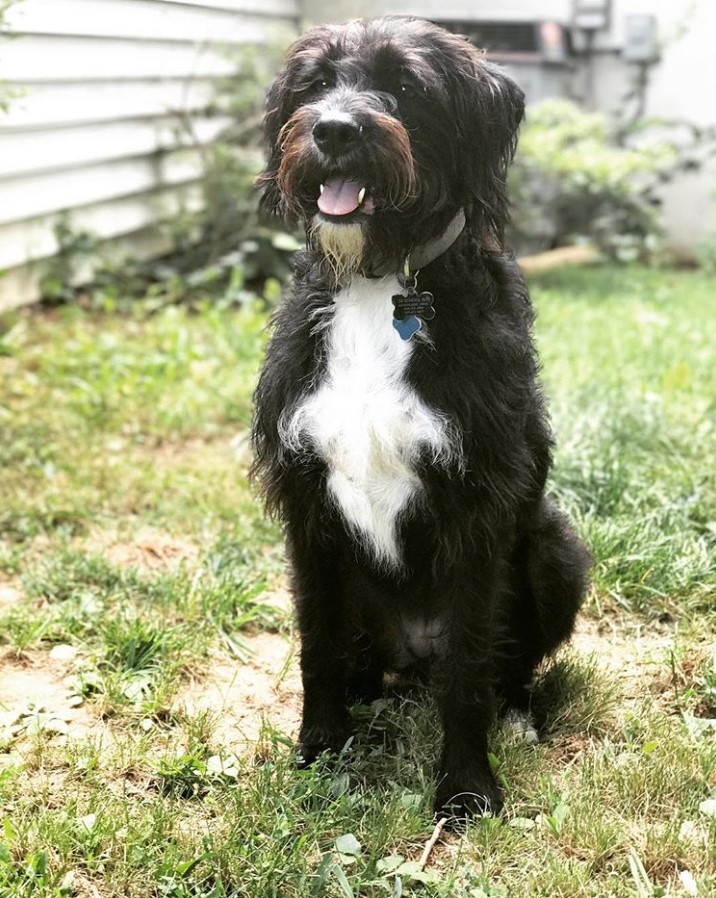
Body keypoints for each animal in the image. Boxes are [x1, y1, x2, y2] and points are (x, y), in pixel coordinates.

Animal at [250, 15, 588, 820]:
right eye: (316, 84)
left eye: (405, 86)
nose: (334, 130)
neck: (380, 282)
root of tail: (411, 659)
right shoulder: (306, 505)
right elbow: (315, 642)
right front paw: (319, 749)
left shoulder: (477, 506)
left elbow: (469, 668)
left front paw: (465, 785)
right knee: (356, 658)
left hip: (556, 546)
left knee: (503, 665)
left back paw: (517, 714)